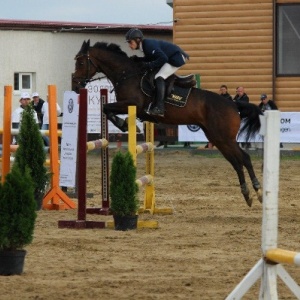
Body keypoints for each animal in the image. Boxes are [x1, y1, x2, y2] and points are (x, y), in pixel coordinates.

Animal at [72, 39, 262, 206]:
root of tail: (233, 104)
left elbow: (106, 107)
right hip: (217, 138)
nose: (75, 85)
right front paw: (124, 123)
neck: (126, 74)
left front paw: (123, 124)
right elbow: (107, 109)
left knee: (244, 158)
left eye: (80, 63)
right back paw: (247, 194)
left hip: (224, 138)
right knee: (236, 162)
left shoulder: (131, 104)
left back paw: (258, 191)